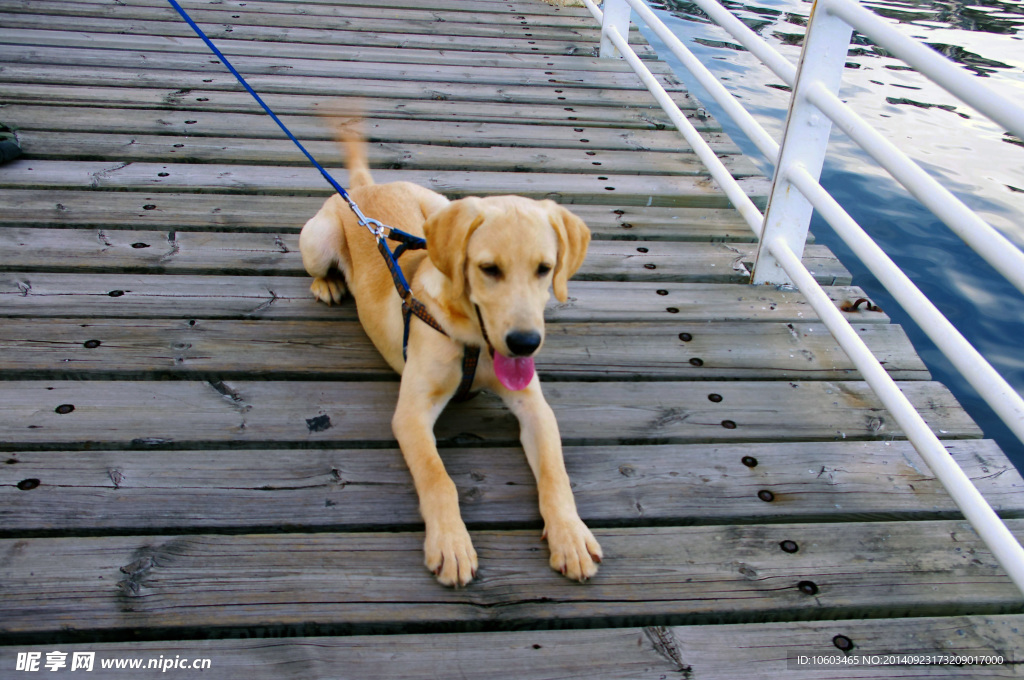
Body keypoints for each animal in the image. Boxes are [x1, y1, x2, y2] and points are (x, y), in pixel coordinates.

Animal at [296, 130, 598, 585]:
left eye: (545, 269)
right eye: (489, 269)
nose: (525, 342)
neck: (474, 341)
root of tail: (367, 188)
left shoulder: (535, 406)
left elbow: (554, 472)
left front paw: (570, 534)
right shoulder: (411, 413)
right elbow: (439, 479)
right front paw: (452, 544)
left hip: (436, 206)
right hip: (317, 239)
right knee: (318, 266)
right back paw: (326, 285)